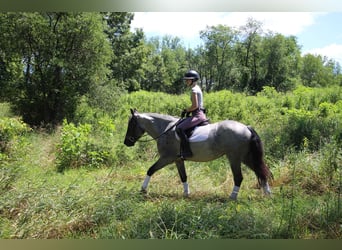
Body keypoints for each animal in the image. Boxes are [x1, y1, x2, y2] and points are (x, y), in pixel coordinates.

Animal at [123, 108, 272, 200]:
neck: (165, 129)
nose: (126, 142)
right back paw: (268, 194)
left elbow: (150, 170)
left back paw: (232, 197)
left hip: (234, 157)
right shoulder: (178, 160)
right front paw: (186, 193)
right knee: (261, 172)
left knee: (239, 177)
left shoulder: (166, 158)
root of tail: (246, 127)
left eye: (131, 124)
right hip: (246, 157)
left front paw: (143, 189)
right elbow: (183, 176)